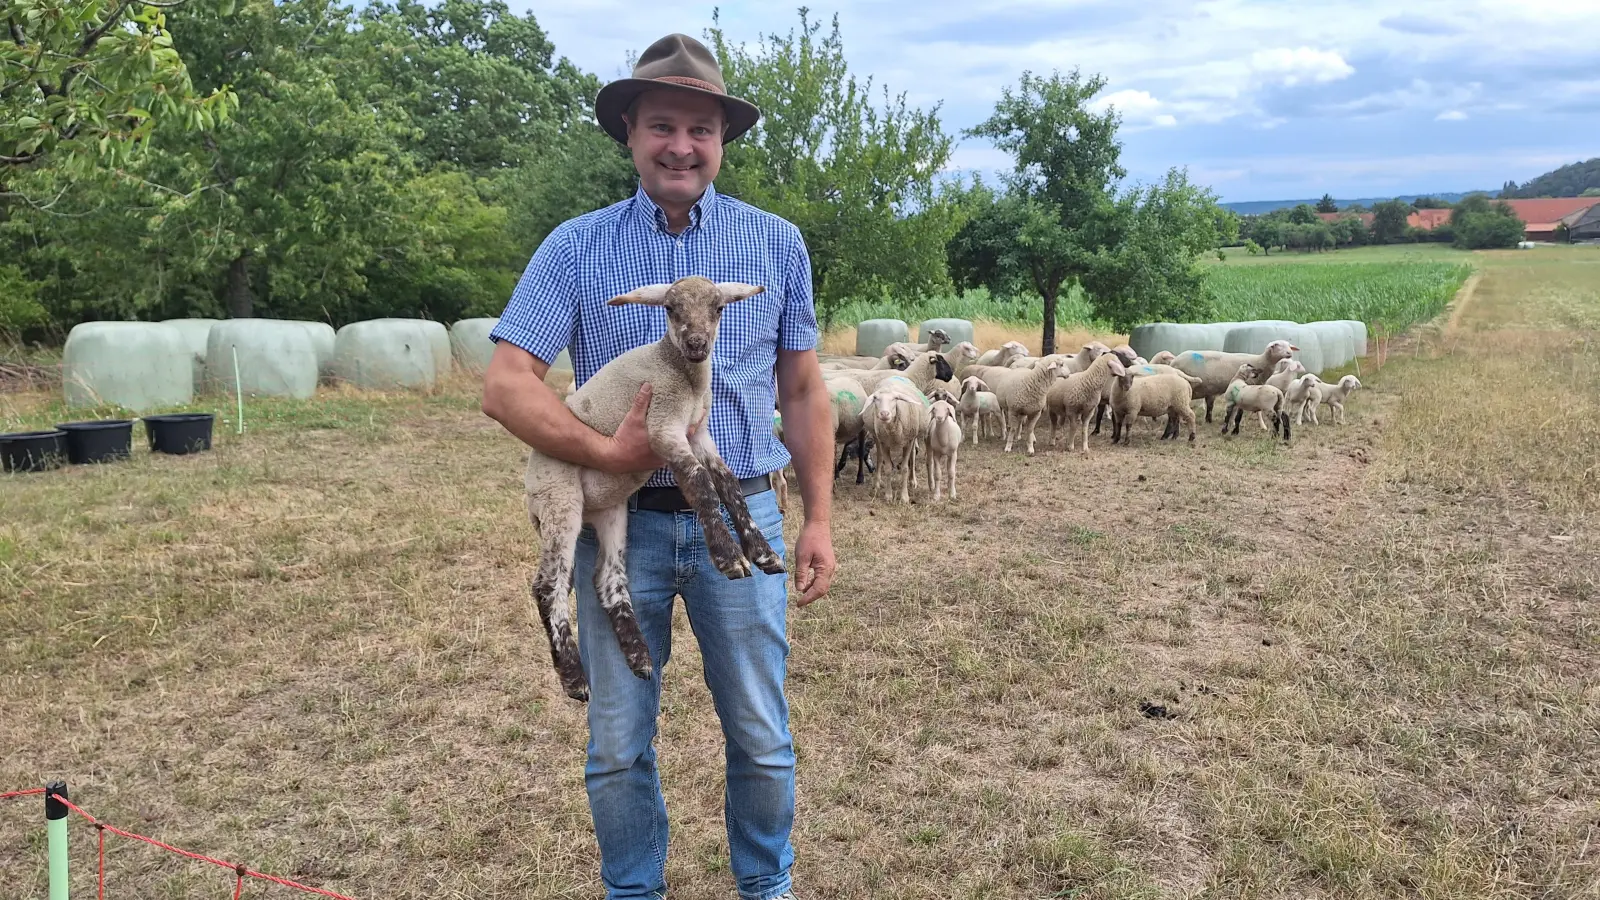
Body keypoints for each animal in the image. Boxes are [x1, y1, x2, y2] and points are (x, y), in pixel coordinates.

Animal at [521, 275, 784, 701]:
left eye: (718, 308)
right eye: (671, 309)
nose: (696, 344)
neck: (681, 373)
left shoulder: (699, 434)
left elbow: (729, 484)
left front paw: (762, 553)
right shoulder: (663, 429)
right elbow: (700, 483)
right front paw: (729, 557)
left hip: (610, 511)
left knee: (608, 579)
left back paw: (639, 657)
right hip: (558, 499)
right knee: (548, 586)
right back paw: (574, 677)